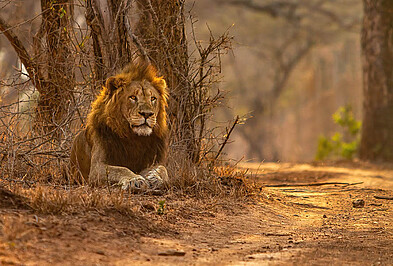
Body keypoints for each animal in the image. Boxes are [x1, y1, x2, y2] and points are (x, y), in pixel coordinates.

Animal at [69, 62, 168, 191]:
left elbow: (163, 169)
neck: (135, 139)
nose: (147, 114)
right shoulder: (96, 168)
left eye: (153, 99)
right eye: (133, 97)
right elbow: (121, 169)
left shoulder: (153, 160)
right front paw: (135, 180)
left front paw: (155, 177)